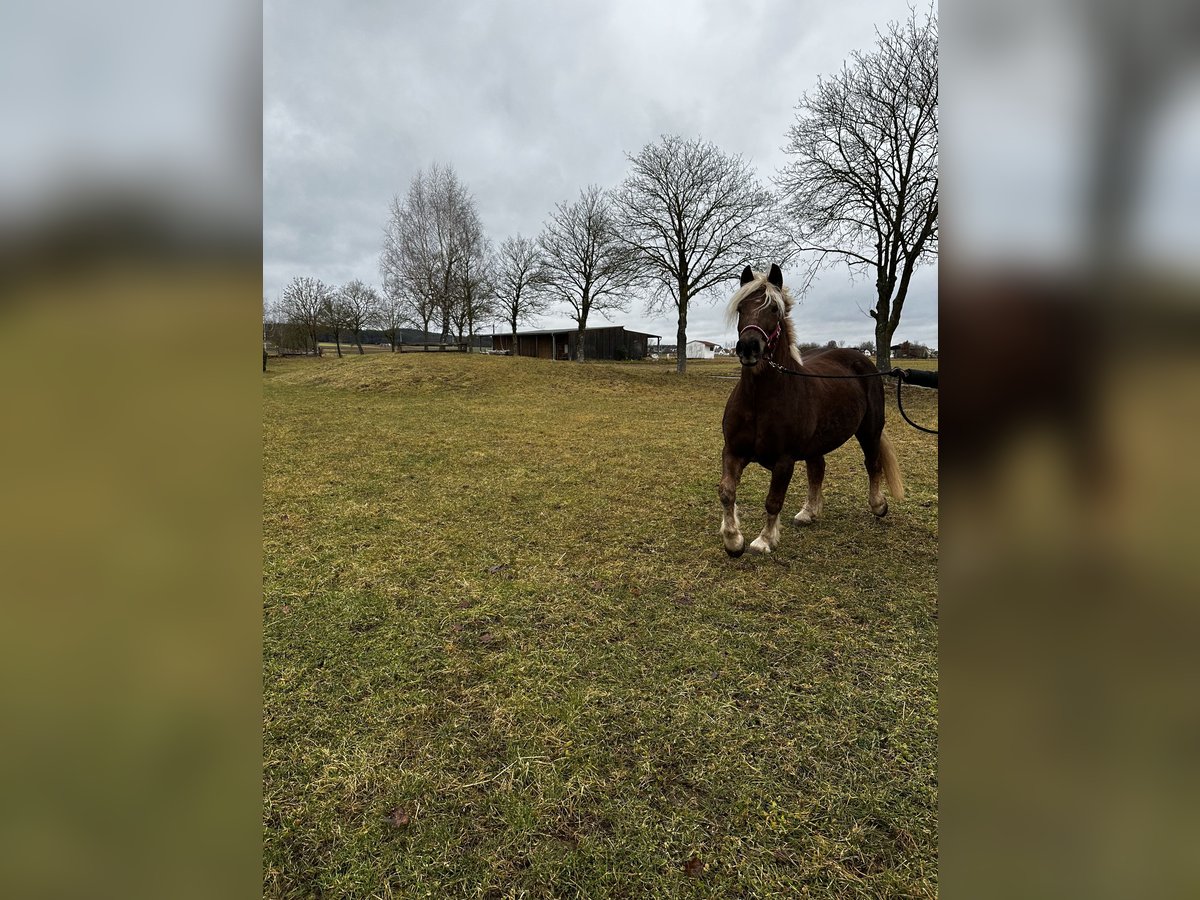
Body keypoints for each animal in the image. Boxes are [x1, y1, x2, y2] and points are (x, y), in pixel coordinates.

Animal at [715, 264, 902, 554]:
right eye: (741, 308)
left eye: (774, 309)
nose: (748, 347)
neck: (759, 399)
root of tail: (861, 359)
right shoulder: (733, 451)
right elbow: (727, 492)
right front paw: (733, 540)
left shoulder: (784, 460)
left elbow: (773, 500)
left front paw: (764, 540)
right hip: (818, 442)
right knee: (818, 468)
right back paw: (808, 512)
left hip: (869, 430)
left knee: (872, 463)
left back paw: (878, 505)